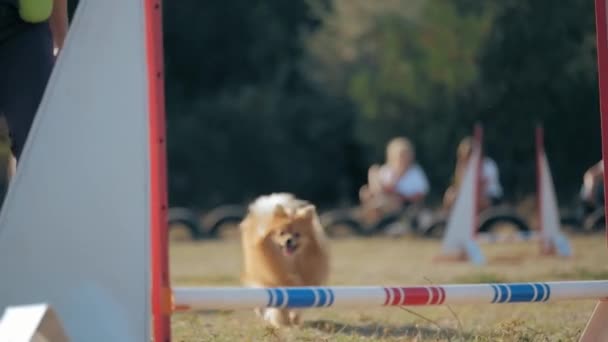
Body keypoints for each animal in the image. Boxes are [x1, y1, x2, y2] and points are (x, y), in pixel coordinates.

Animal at [240, 194, 330, 328]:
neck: (290, 262)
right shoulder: (273, 283)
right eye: (281, 233)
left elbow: (298, 305)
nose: (288, 240)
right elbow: (279, 307)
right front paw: (283, 321)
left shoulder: (305, 285)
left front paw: (294, 319)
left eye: (297, 234)